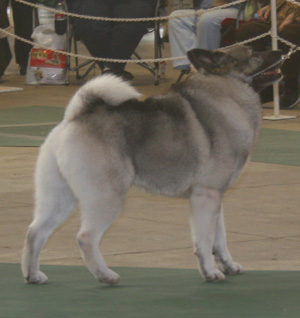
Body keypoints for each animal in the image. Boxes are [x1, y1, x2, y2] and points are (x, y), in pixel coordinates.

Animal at [22, 46, 282, 284]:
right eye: (253, 53)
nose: (280, 51)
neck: (227, 92)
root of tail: (74, 117)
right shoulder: (206, 196)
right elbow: (205, 240)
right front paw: (210, 272)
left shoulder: (215, 197)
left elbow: (220, 237)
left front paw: (228, 265)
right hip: (107, 196)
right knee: (86, 237)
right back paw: (106, 275)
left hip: (60, 197)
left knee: (35, 232)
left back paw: (33, 275)